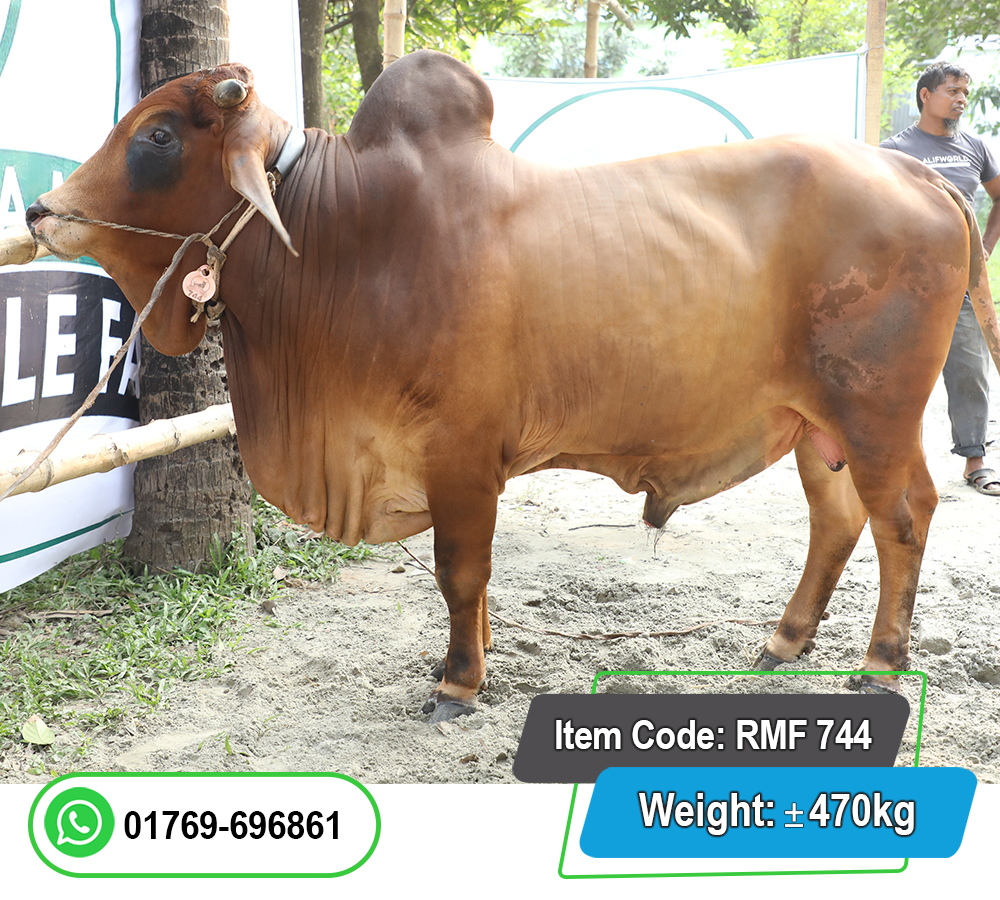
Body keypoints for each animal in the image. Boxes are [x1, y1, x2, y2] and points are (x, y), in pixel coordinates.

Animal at [25, 51, 1000, 721]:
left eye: (157, 134)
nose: (41, 210)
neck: (339, 231)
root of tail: (916, 172)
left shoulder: (458, 453)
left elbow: (461, 571)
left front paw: (458, 683)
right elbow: (475, 581)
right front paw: (470, 661)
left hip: (874, 411)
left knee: (901, 519)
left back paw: (879, 663)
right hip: (813, 423)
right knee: (839, 522)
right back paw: (784, 640)